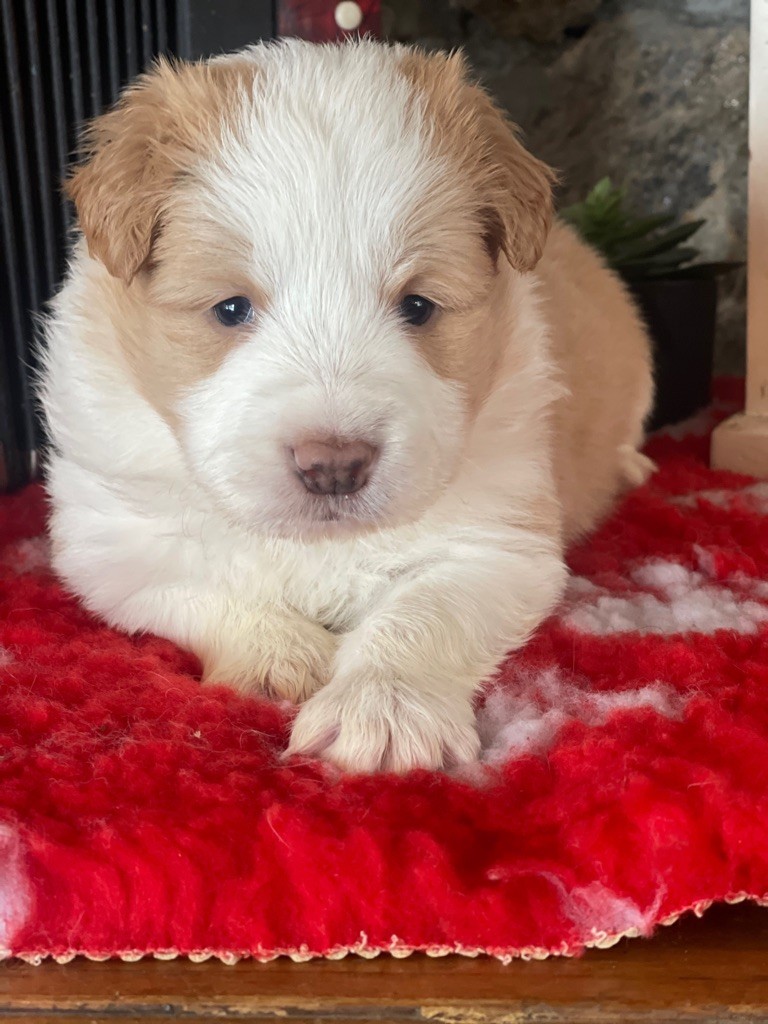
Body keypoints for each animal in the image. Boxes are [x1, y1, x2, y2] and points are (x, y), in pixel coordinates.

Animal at [40, 39, 653, 773]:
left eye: (418, 306)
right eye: (230, 308)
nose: (333, 465)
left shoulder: (498, 546)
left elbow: (423, 614)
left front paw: (383, 706)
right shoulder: (112, 541)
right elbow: (205, 586)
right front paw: (282, 656)